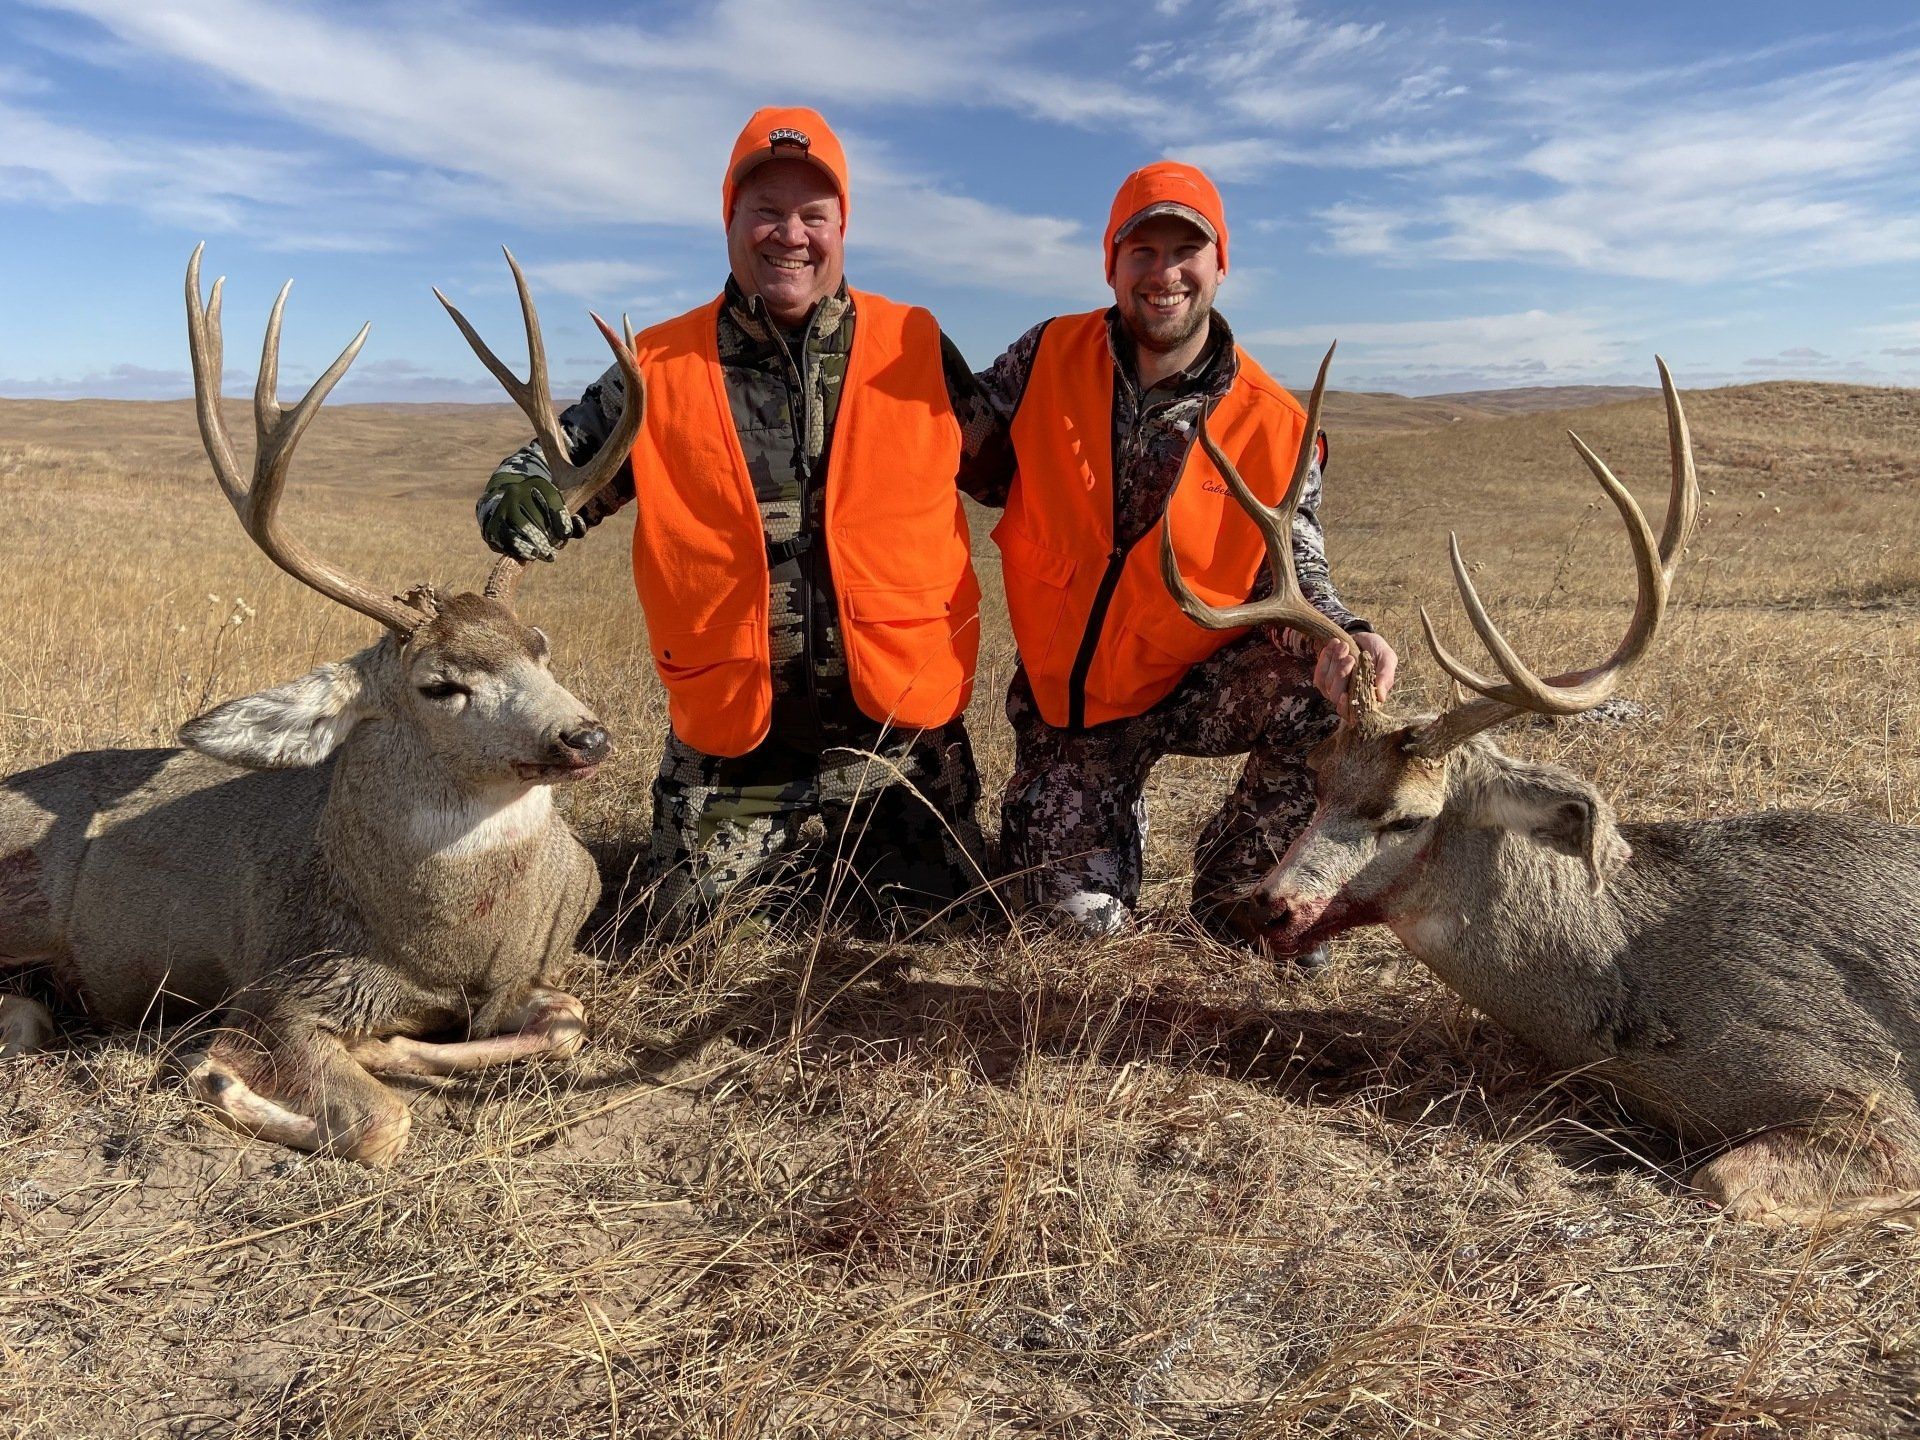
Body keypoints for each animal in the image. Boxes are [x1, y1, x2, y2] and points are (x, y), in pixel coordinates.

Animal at [0, 247, 643, 1164]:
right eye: (439, 684)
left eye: (539, 643)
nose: (585, 736)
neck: (449, 948)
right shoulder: (286, 986)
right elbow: (382, 1122)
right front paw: (223, 1074)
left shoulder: (528, 975)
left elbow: (567, 1022)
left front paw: (402, 1046)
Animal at [1164, 349, 1920, 1225]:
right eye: (1316, 781)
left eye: (1408, 817)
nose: (1268, 905)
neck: (1630, 972)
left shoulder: (1865, 1089)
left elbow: (1723, 1180)